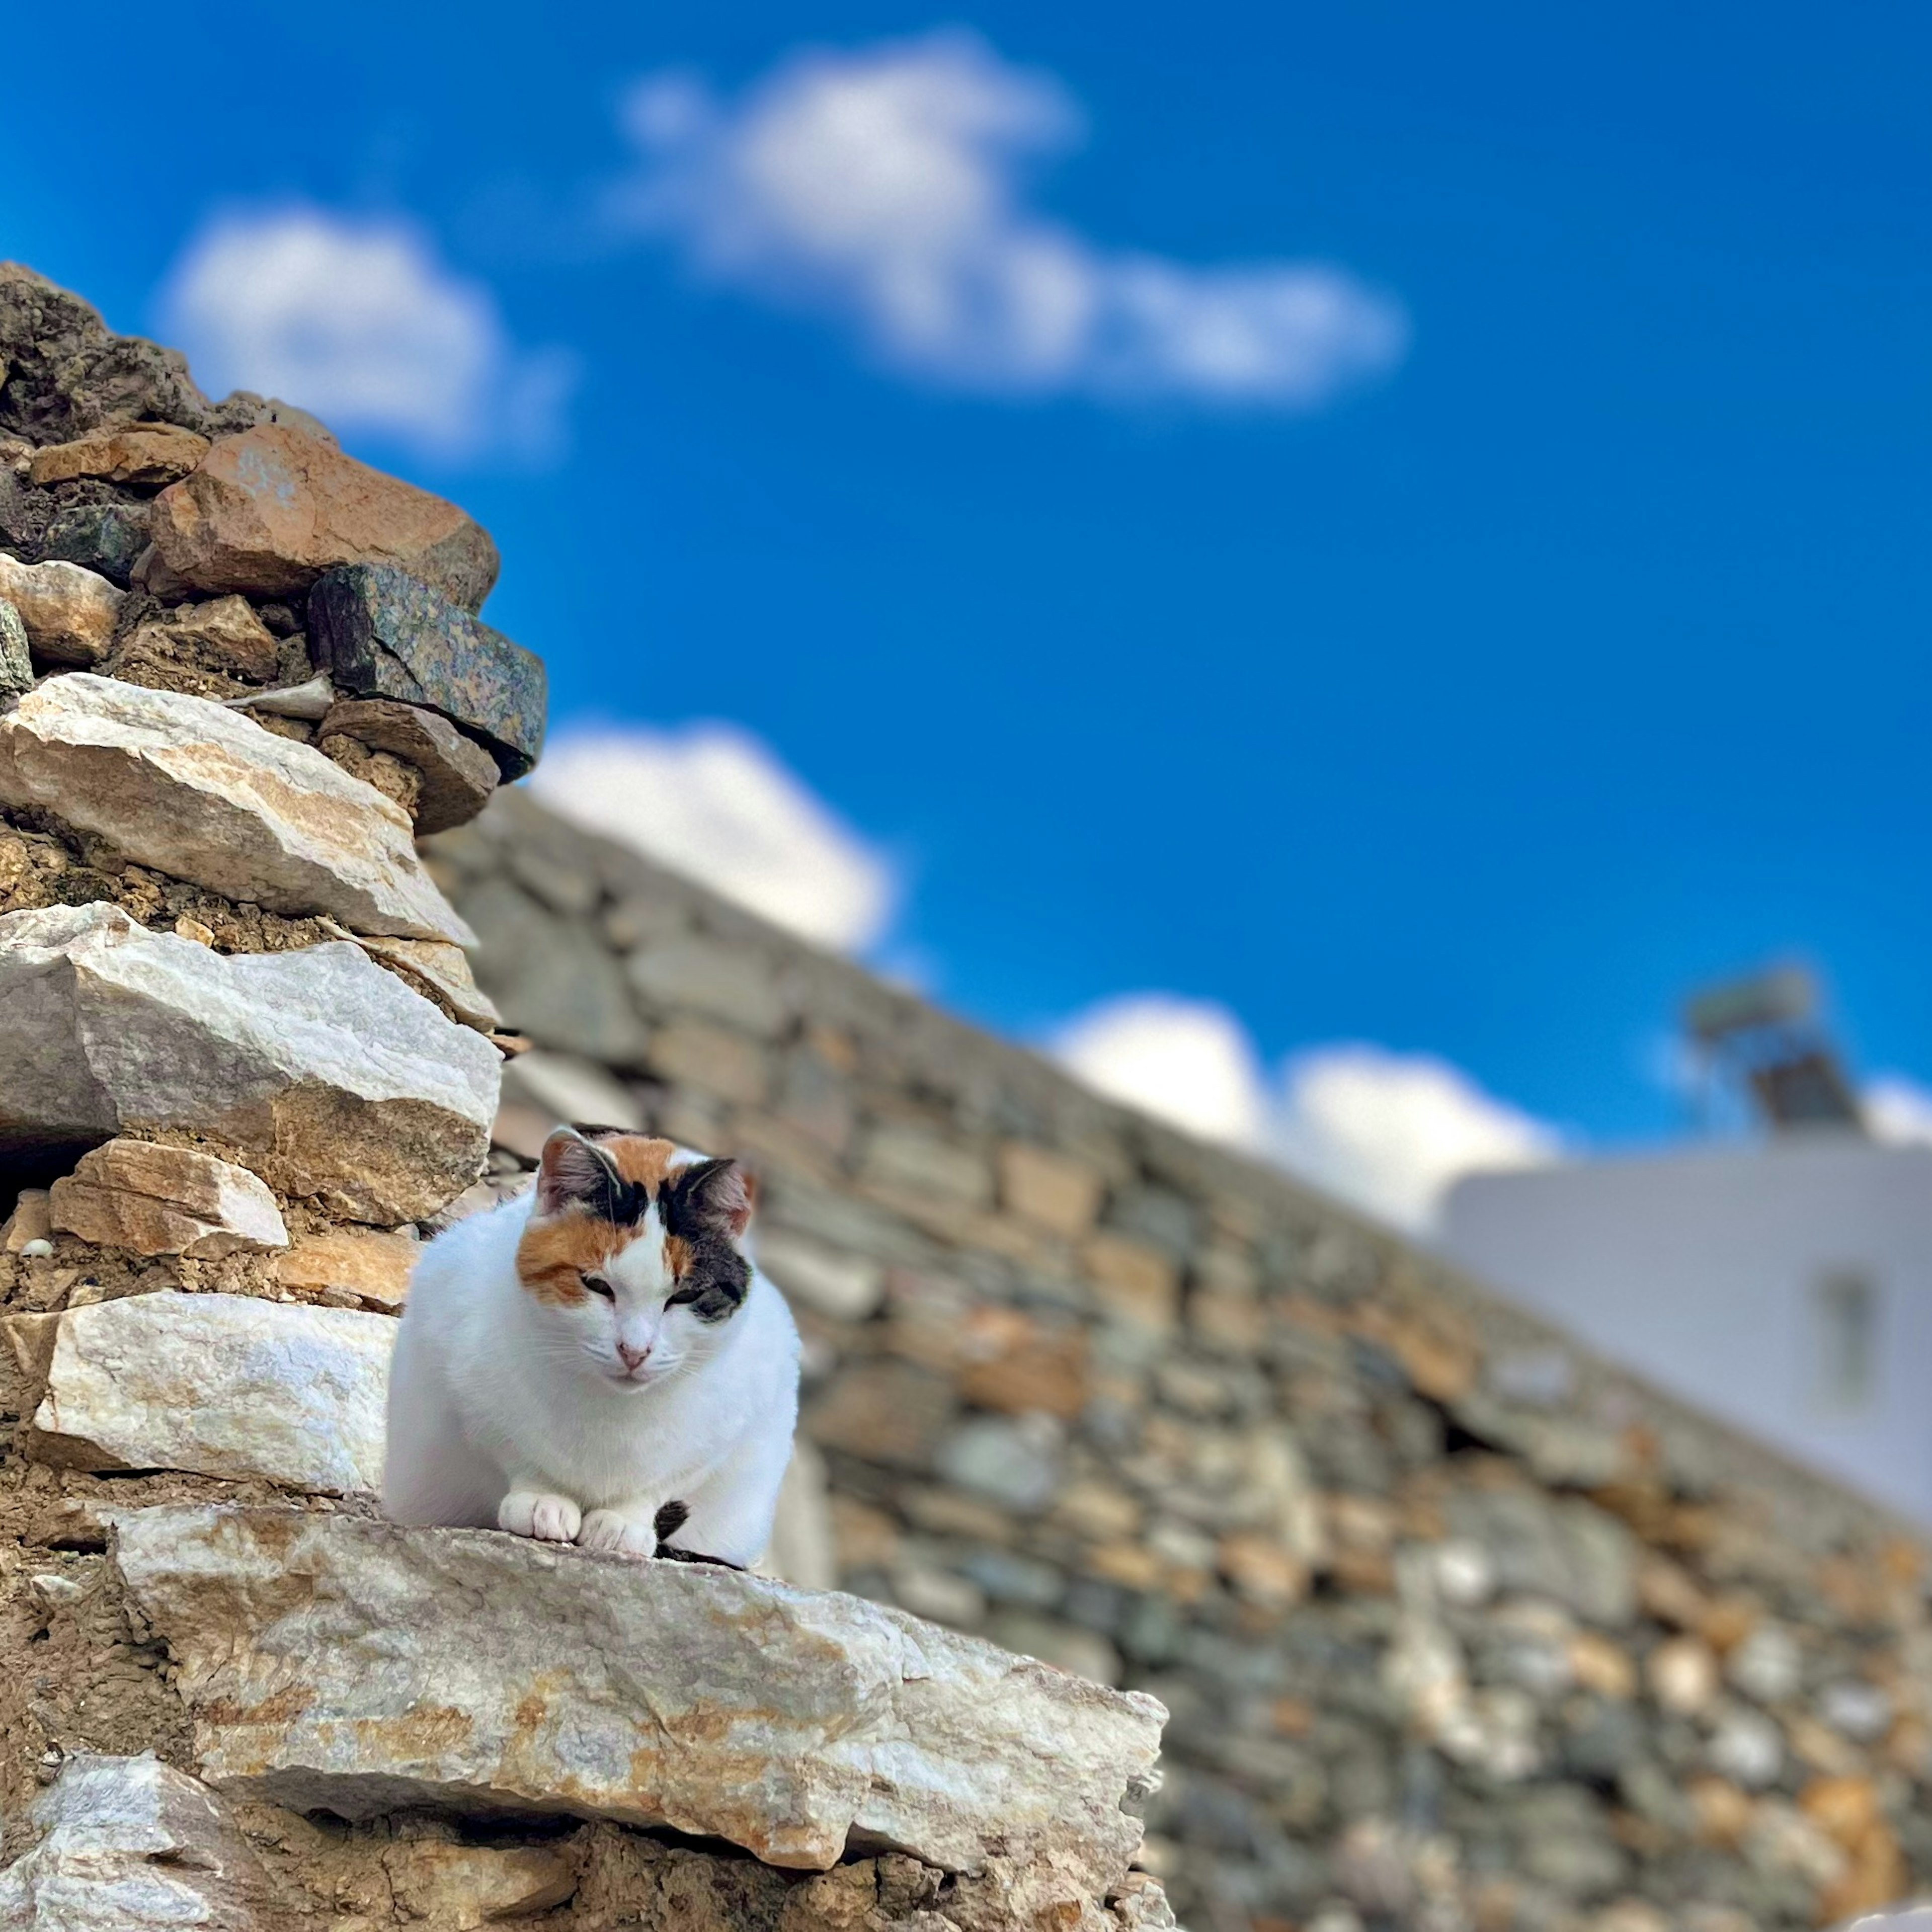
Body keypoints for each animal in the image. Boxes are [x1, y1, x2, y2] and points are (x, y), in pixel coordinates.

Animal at [380, 1128, 803, 1569]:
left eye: (685, 1296)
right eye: (598, 1286)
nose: (634, 1351)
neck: (611, 1410)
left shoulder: (732, 1422)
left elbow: (660, 1483)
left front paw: (623, 1522)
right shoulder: (468, 1386)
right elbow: (521, 1455)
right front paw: (543, 1501)